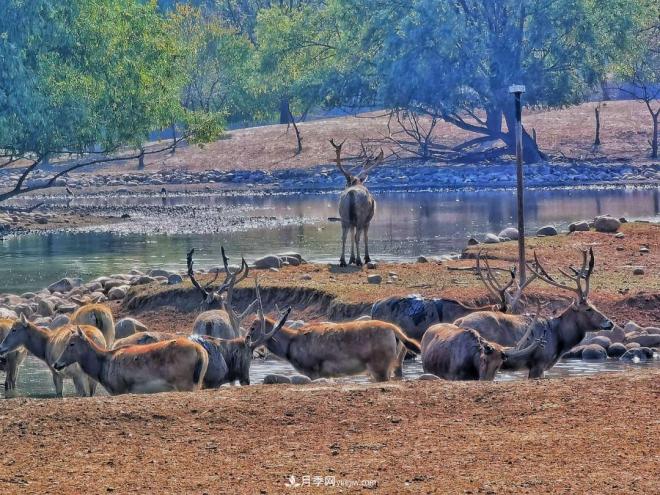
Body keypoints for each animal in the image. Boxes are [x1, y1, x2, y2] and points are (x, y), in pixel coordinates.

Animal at [332, 138, 384, 270]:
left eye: (346, 183)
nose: (345, 186)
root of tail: (351, 193)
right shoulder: (367, 221)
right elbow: (365, 237)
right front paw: (366, 258)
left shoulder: (352, 222)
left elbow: (350, 235)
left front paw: (352, 259)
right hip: (361, 217)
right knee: (357, 237)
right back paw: (360, 261)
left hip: (344, 216)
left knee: (344, 236)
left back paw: (342, 261)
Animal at [456, 248, 616, 380]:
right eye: (588, 309)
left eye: (594, 305)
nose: (610, 322)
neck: (559, 338)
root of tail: (459, 321)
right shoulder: (539, 363)